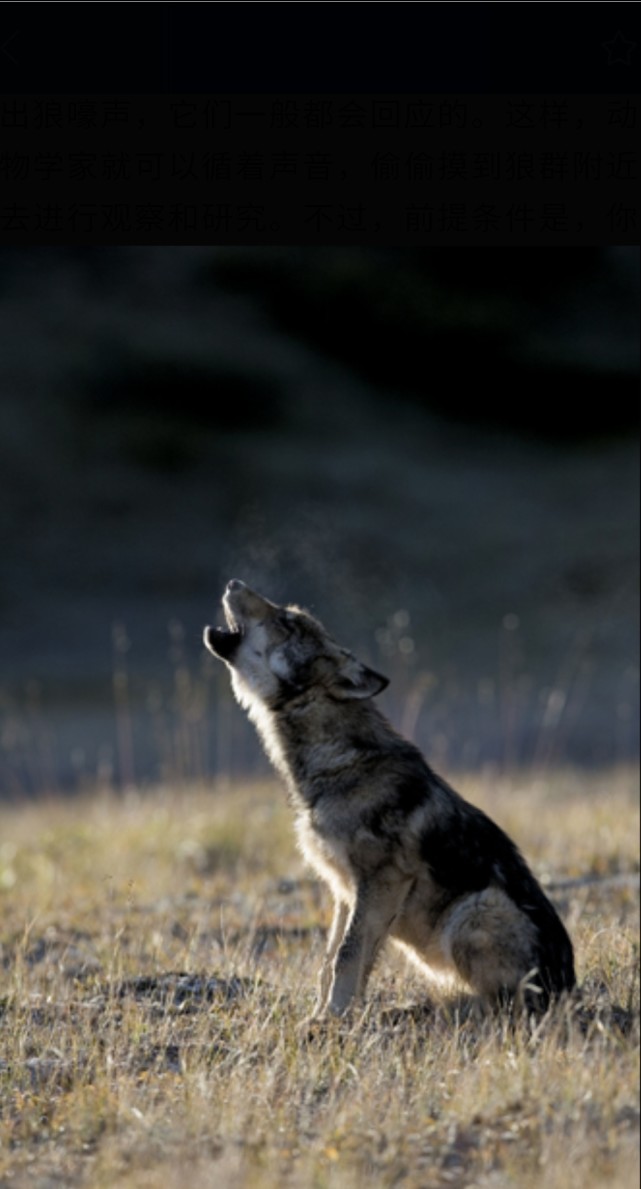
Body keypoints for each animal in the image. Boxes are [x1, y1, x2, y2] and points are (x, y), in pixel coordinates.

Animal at [204, 580, 577, 1017]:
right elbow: (330, 961)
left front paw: (332, 1017)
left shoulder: (380, 881)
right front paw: (324, 1014)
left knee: (503, 1006)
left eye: (287, 621)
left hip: (475, 911)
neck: (339, 763)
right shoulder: (345, 890)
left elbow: (347, 956)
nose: (234, 583)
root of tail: (569, 990)